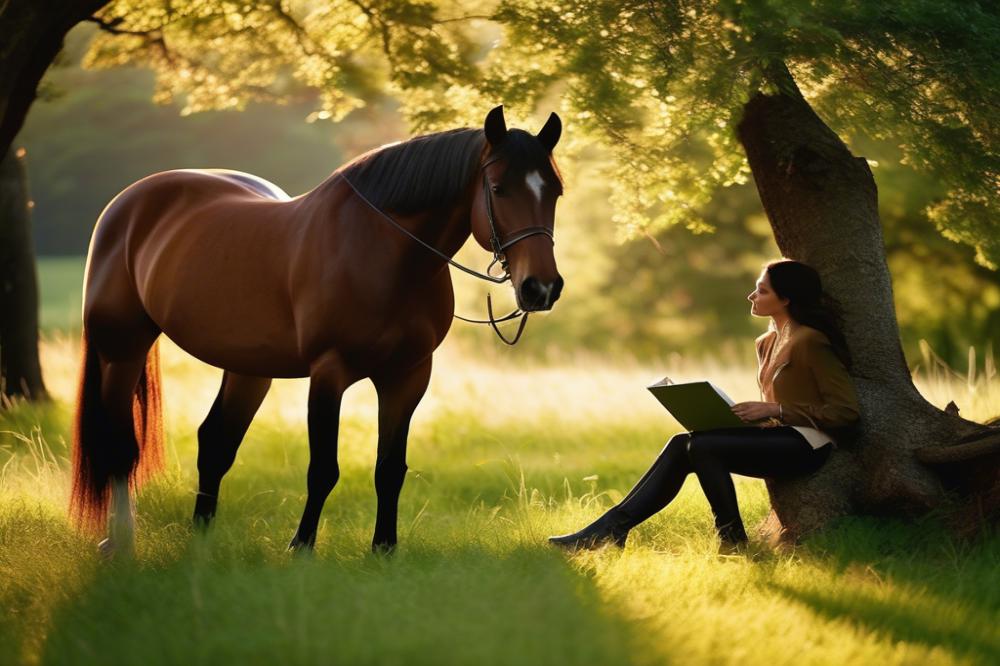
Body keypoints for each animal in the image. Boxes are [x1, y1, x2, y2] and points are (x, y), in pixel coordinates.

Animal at [70, 105, 564, 556]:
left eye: (555, 191)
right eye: (498, 189)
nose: (541, 287)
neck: (381, 253)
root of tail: (129, 203)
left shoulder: (407, 377)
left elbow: (390, 468)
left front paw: (384, 548)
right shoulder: (330, 373)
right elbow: (323, 468)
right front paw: (302, 546)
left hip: (248, 369)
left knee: (215, 443)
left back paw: (201, 539)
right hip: (122, 351)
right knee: (120, 447)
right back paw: (121, 541)